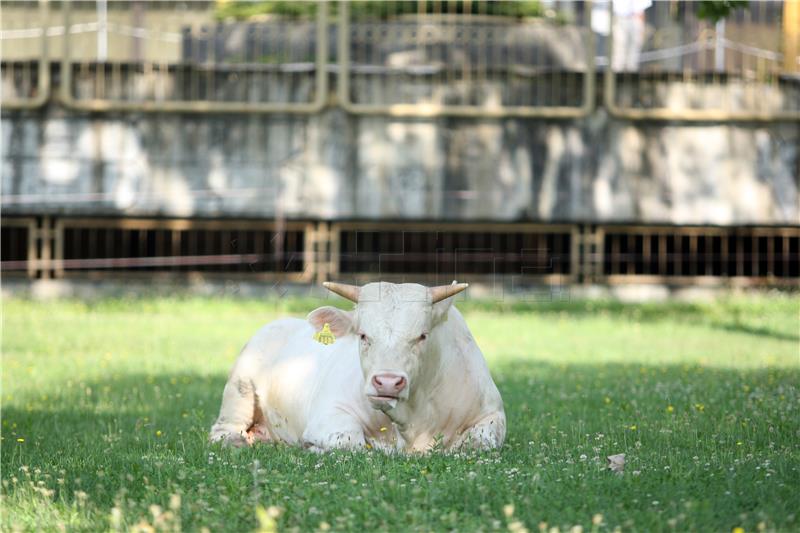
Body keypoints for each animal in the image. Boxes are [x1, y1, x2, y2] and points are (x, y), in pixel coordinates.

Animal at [208, 280, 506, 450]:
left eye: (422, 335)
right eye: (363, 335)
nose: (387, 382)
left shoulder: (492, 414)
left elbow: (478, 443)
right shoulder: (328, 415)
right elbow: (351, 442)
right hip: (240, 386)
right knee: (224, 428)